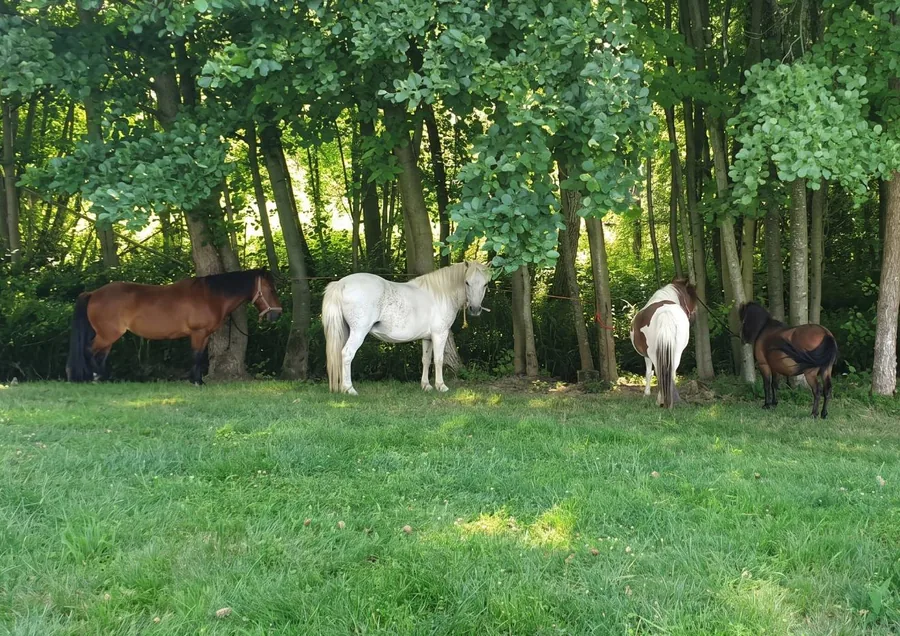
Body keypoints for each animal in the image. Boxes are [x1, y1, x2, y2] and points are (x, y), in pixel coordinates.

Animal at [66, 268, 282, 385]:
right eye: (271, 289)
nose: (277, 314)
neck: (210, 295)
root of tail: (94, 293)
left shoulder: (204, 335)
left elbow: (200, 356)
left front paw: (198, 379)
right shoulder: (198, 333)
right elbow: (196, 355)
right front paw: (196, 381)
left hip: (108, 336)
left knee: (100, 355)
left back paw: (101, 378)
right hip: (107, 334)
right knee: (89, 351)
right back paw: (95, 376)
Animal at [322, 261, 491, 395]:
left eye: (485, 284)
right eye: (467, 282)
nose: (475, 309)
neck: (440, 294)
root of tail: (341, 283)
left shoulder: (427, 338)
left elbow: (426, 360)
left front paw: (426, 385)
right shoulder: (439, 335)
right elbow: (438, 359)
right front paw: (441, 386)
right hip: (358, 332)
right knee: (347, 354)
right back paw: (349, 389)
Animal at [630, 278, 697, 408]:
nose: (694, 317)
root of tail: (665, 312)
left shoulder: (647, 355)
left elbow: (649, 373)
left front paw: (646, 394)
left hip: (654, 353)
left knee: (659, 371)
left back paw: (660, 400)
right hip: (677, 352)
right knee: (671, 371)